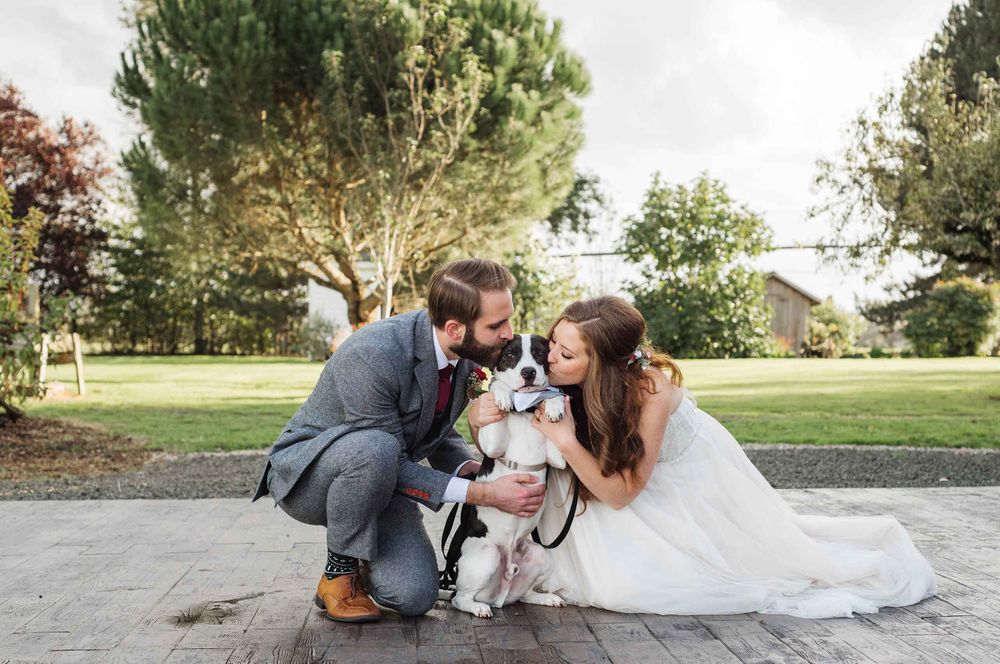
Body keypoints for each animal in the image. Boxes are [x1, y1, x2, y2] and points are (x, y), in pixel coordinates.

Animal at [452, 334, 568, 620]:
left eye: (540, 353)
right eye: (510, 355)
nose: (528, 372)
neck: (525, 411)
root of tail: (499, 594)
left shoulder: (558, 457)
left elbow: (553, 395)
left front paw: (554, 403)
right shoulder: (493, 445)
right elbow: (497, 386)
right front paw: (503, 393)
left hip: (540, 555)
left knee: (524, 595)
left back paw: (546, 597)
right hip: (488, 555)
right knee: (460, 598)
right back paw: (477, 607)